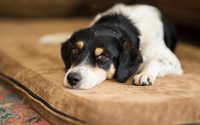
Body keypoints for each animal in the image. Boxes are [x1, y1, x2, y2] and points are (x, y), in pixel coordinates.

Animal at [40, 3, 183, 89]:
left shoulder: (173, 62)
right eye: (75, 50)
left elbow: (155, 62)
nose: (72, 78)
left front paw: (144, 75)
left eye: (103, 57)